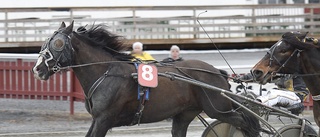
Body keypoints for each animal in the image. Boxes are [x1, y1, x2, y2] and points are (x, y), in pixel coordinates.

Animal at [31, 21, 260, 137]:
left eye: (58, 43)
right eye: (45, 42)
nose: (37, 68)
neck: (106, 72)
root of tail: (217, 72)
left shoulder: (105, 119)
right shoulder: (98, 119)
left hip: (218, 109)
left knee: (245, 122)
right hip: (185, 114)